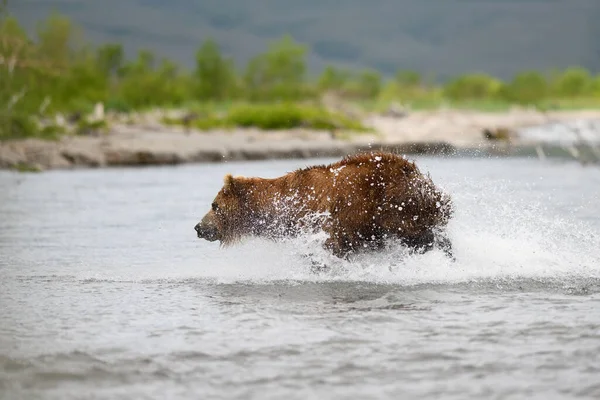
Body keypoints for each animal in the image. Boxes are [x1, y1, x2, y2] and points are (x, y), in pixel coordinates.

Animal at [195, 151, 452, 260]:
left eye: (214, 205)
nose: (198, 227)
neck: (280, 207)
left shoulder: (322, 222)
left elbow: (327, 248)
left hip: (397, 206)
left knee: (422, 237)